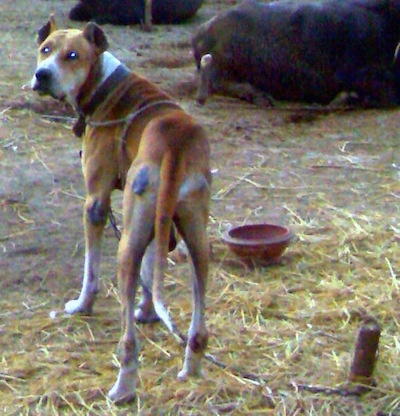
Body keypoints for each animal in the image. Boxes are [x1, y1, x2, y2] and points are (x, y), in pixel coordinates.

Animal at [31, 16, 212, 404]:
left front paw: (82, 305)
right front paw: (148, 310)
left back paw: (123, 387)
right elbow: (152, 271)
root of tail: (174, 142)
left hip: (125, 245)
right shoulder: (157, 224)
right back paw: (191, 367)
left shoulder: (95, 203)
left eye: (73, 55)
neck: (104, 84)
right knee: (199, 319)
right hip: (195, 236)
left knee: (129, 341)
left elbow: (90, 271)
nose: (42, 74)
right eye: (45, 49)